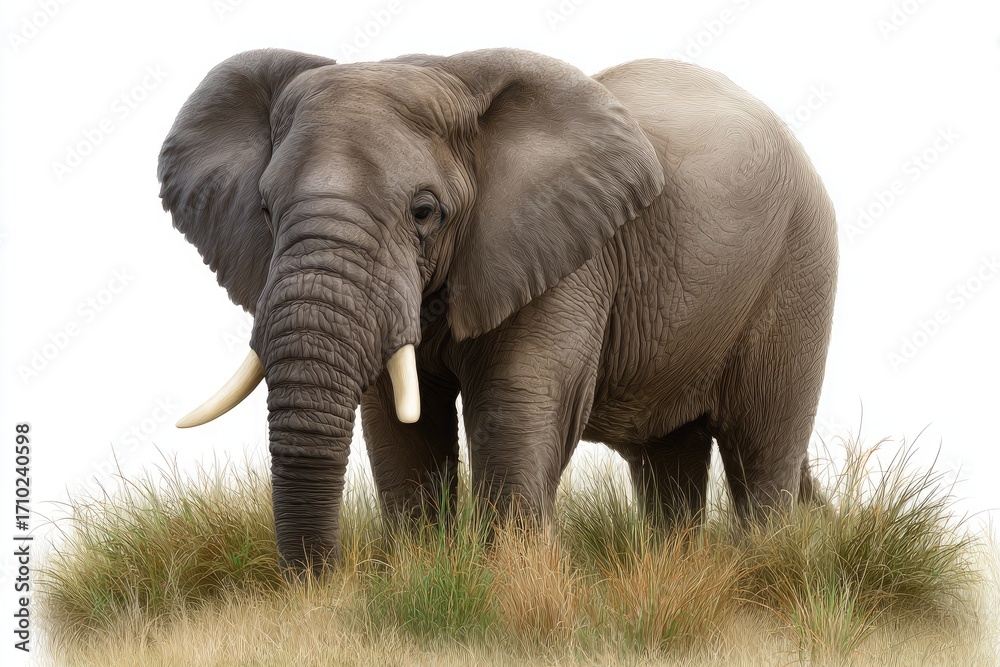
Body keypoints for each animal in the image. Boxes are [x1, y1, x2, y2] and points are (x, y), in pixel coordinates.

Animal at [158, 47, 837, 574]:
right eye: (265, 211)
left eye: (425, 212)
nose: (322, 584)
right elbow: (400, 422)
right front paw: (417, 572)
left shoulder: (568, 254)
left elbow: (517, 403)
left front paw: (510, 583)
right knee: (666, 454)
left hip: (801, 267)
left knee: (762, 445)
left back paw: (763, 565)